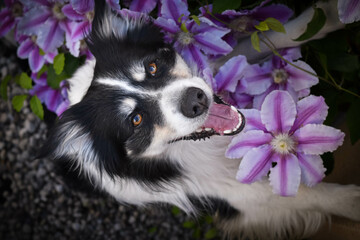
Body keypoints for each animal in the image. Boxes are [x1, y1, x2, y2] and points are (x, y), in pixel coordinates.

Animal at [44, 1, 360, 238]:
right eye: (135, 120)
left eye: (153, 67)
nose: (196, 100)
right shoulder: (236, 195)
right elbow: (309, 195)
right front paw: (352, 202)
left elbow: (269, 38)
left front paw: (332, 15)